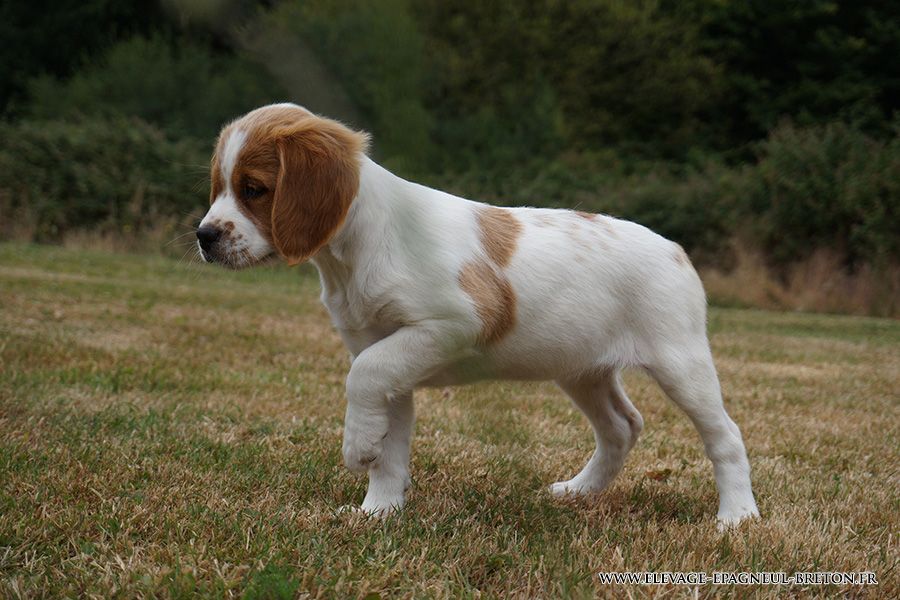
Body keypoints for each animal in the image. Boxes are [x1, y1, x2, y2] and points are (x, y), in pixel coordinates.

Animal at [197, 104, 760, 528]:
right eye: (218, 187)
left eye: (253, 189)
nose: (204, 236)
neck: (356, 250)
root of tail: (676, 249)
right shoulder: (390, 356)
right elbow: (391, 445)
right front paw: (378, 512)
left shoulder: (452, 324)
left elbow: (362, 377)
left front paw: (357, 448)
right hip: (582, 369)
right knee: (622, 426)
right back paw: (579, 491)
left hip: (680, 362)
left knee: (725, 435)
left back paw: (737, 516)